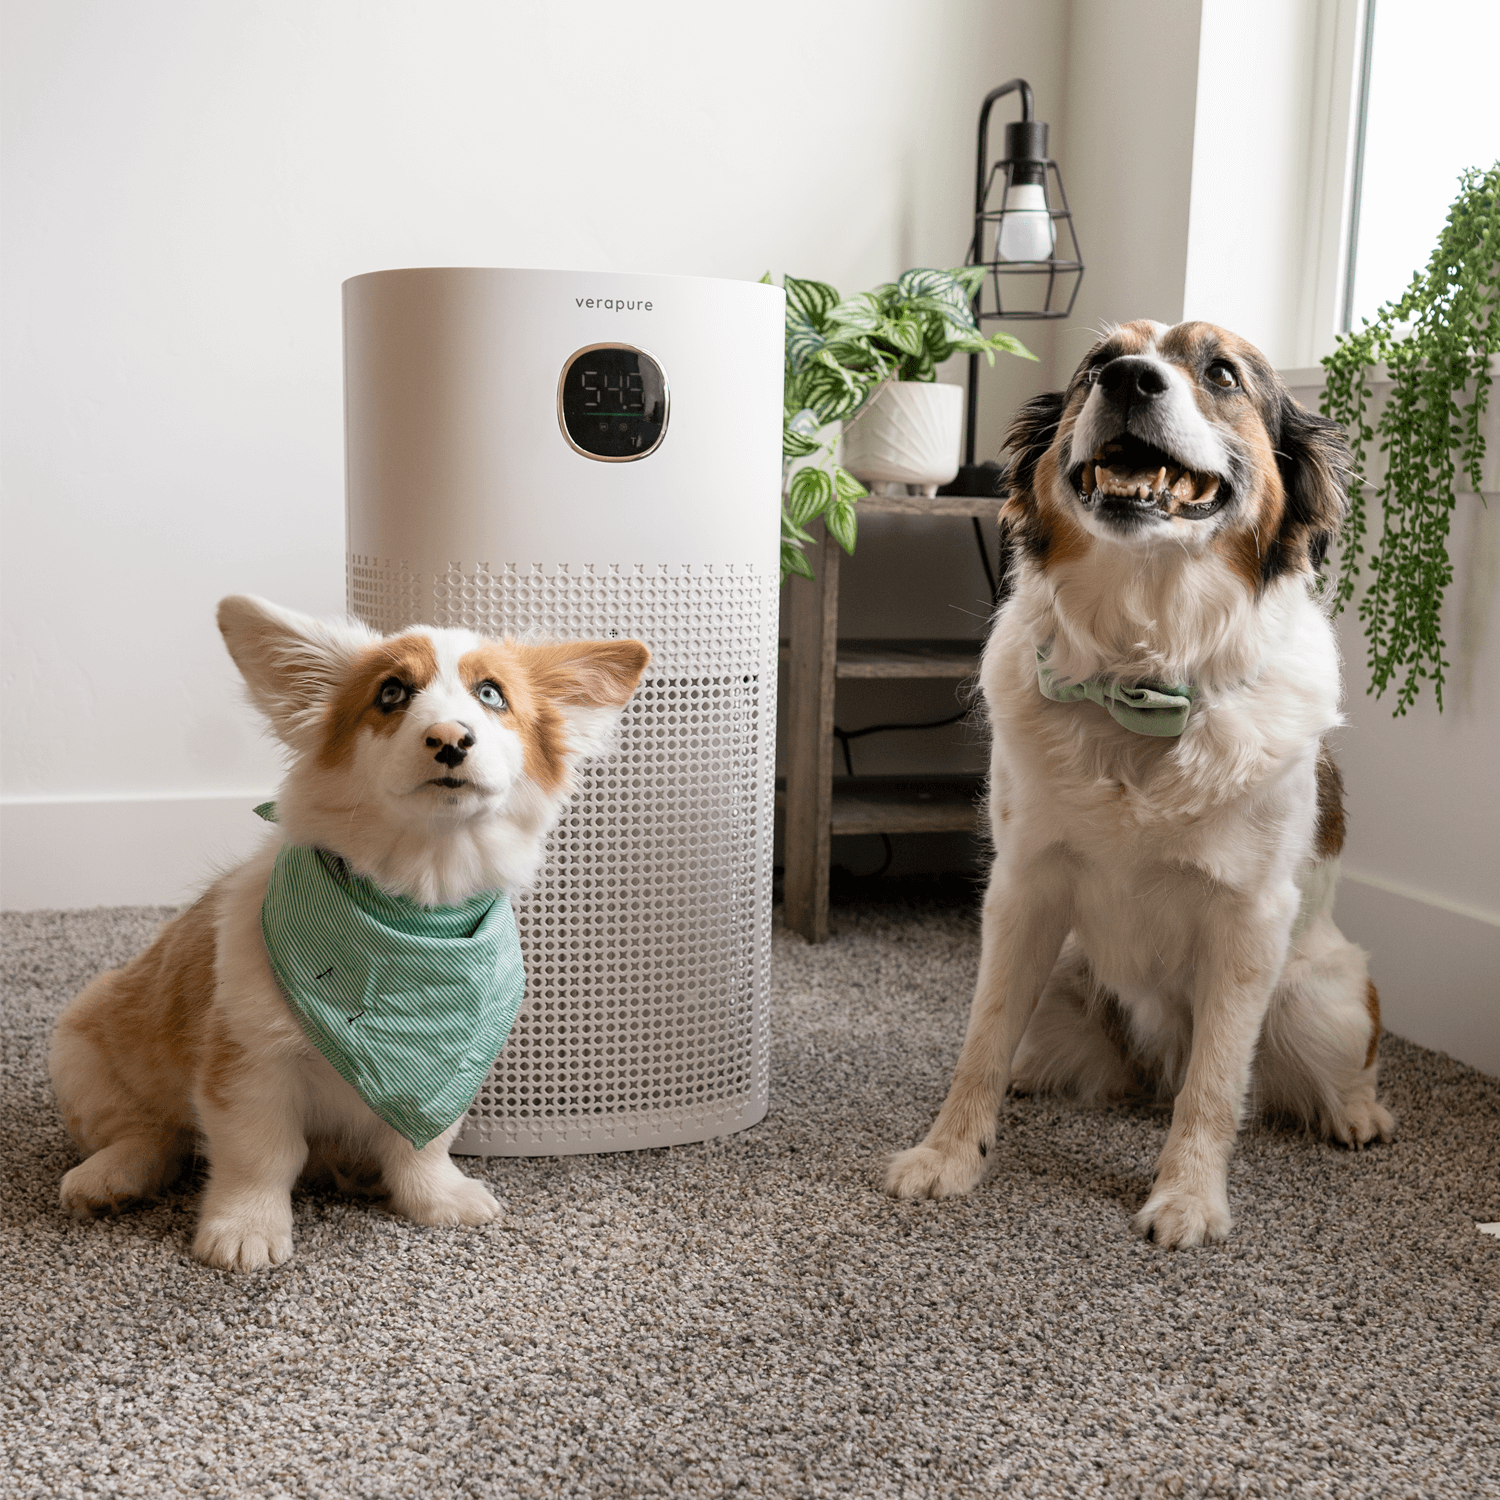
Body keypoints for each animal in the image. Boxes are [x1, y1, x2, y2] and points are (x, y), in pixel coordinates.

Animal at [51, 594, 651, 1266]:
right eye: (391, 693)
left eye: (491, 694)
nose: (450, 739)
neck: (416, 903)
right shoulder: (248, 1061)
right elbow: (258, 1155)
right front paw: (244, 1230)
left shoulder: (443, 1074)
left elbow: (424, 1146)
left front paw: (439, 1199)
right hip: (80, 1052)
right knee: (152, 1134)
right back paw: (109, 1178)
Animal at [882, 322, 1398, 1248]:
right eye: (1094, 367)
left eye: (1222, 372)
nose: (1128, 378)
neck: (1143, 673)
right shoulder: (1022, 891)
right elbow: (981, 1044)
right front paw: (948, 1155)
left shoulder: (1249, 920)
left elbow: (1216, 1085)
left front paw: (1188, 1196)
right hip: (1066, 975)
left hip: (1320, 998)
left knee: (1299, 1067)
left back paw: (1356, 1114)